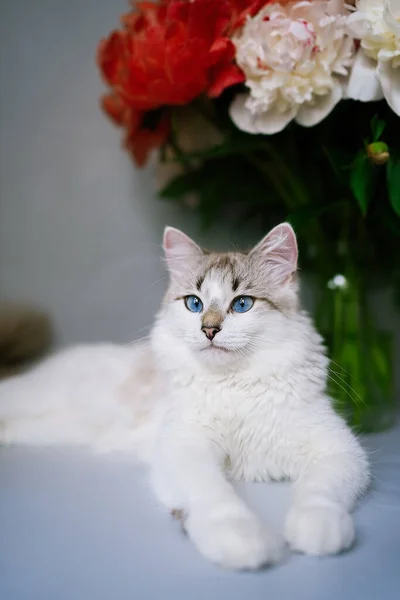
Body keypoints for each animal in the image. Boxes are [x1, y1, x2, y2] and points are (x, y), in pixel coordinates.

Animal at [0, 224, 368, 568]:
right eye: (195, 304)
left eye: (242, 304)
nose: (209, 329)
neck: (233, 384)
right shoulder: (184, 447)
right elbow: (217, 496)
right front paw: (241, 540)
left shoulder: (338, 449)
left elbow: (319, 493)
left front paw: (318, 530)